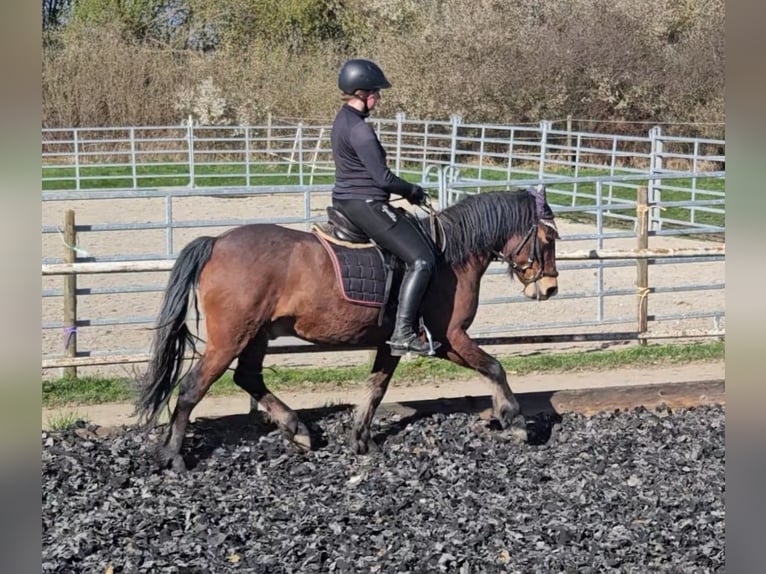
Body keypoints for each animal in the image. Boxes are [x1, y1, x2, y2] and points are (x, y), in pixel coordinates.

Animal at [136, 189, 560, 472]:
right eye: (549, 238)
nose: (550, 288)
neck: (448, 258)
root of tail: (217, 242)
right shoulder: (449, 338)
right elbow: (494, 368)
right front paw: (514, 422)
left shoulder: (393, 342)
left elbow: (376, 388)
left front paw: (361, 439)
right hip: (230, 338)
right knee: (193, 388)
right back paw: (173, 455)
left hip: (256, 335)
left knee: (248, 378)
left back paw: (297, 429)